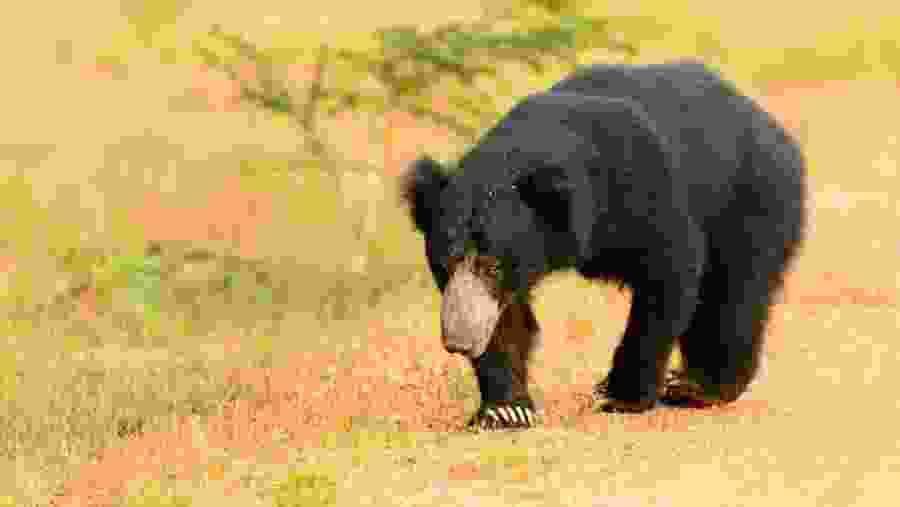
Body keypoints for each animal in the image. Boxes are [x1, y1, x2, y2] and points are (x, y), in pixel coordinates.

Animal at [401, 59, 806, 431]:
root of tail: (773, 127)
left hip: (753, 202)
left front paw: (622, 395)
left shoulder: (641, 189)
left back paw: (698, 386)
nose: (458, 340)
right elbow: (506, 318)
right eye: (444, 264)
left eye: (492, 265)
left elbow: (669, 269)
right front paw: (505, 410)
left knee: (734, 296)